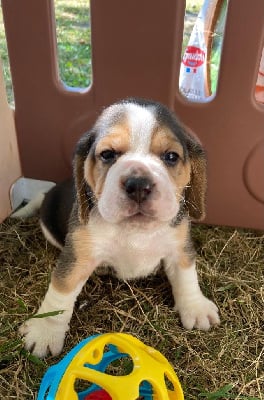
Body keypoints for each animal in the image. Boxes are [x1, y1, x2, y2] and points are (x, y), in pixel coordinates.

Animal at [19, 98, 220, 358]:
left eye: (171, 156)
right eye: (107, 154)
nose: (139, 184)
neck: (135, 230)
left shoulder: (179, 248)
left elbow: (187, 276)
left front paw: (195, 308)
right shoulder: (77, 256)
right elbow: (61, 291)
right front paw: (44, 331)